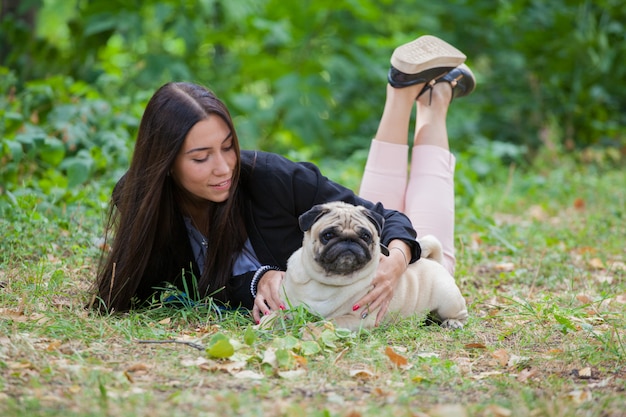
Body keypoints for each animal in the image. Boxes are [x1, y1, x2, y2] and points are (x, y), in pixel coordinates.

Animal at [280, 200, 466, 330]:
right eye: (328, 235)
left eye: (365, 236)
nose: (349, 240)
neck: (328, 281)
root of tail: (434, 261)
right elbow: (277, 316)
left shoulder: (356, 319)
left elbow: (330, 322)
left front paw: (308, 330)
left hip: (448, 300)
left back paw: (453, 323)